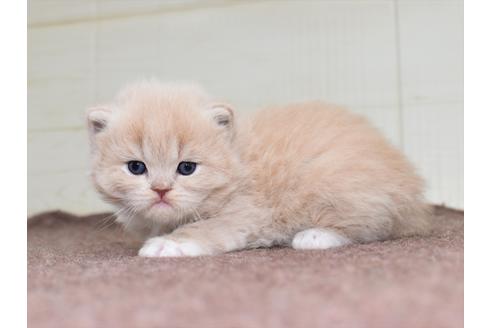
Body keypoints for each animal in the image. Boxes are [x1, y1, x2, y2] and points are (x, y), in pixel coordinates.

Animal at [86, 80, 428, 258]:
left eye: (186, 168)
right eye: (136, 167)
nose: (160, 190)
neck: (237, 158)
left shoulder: (246, 213)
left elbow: (204, 229)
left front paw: (167, 244)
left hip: (337, 183)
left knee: (371, 227)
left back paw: (315, 236)